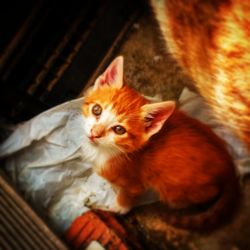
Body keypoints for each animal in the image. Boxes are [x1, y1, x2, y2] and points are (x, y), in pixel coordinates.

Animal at [82, 57, 240, 230]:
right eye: (97, 110)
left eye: (119, 129)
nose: (95, 133)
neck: (106, 151)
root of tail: (228, 164)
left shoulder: (133, 185)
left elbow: (125, 197)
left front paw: (118, 207)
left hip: (174, 189)